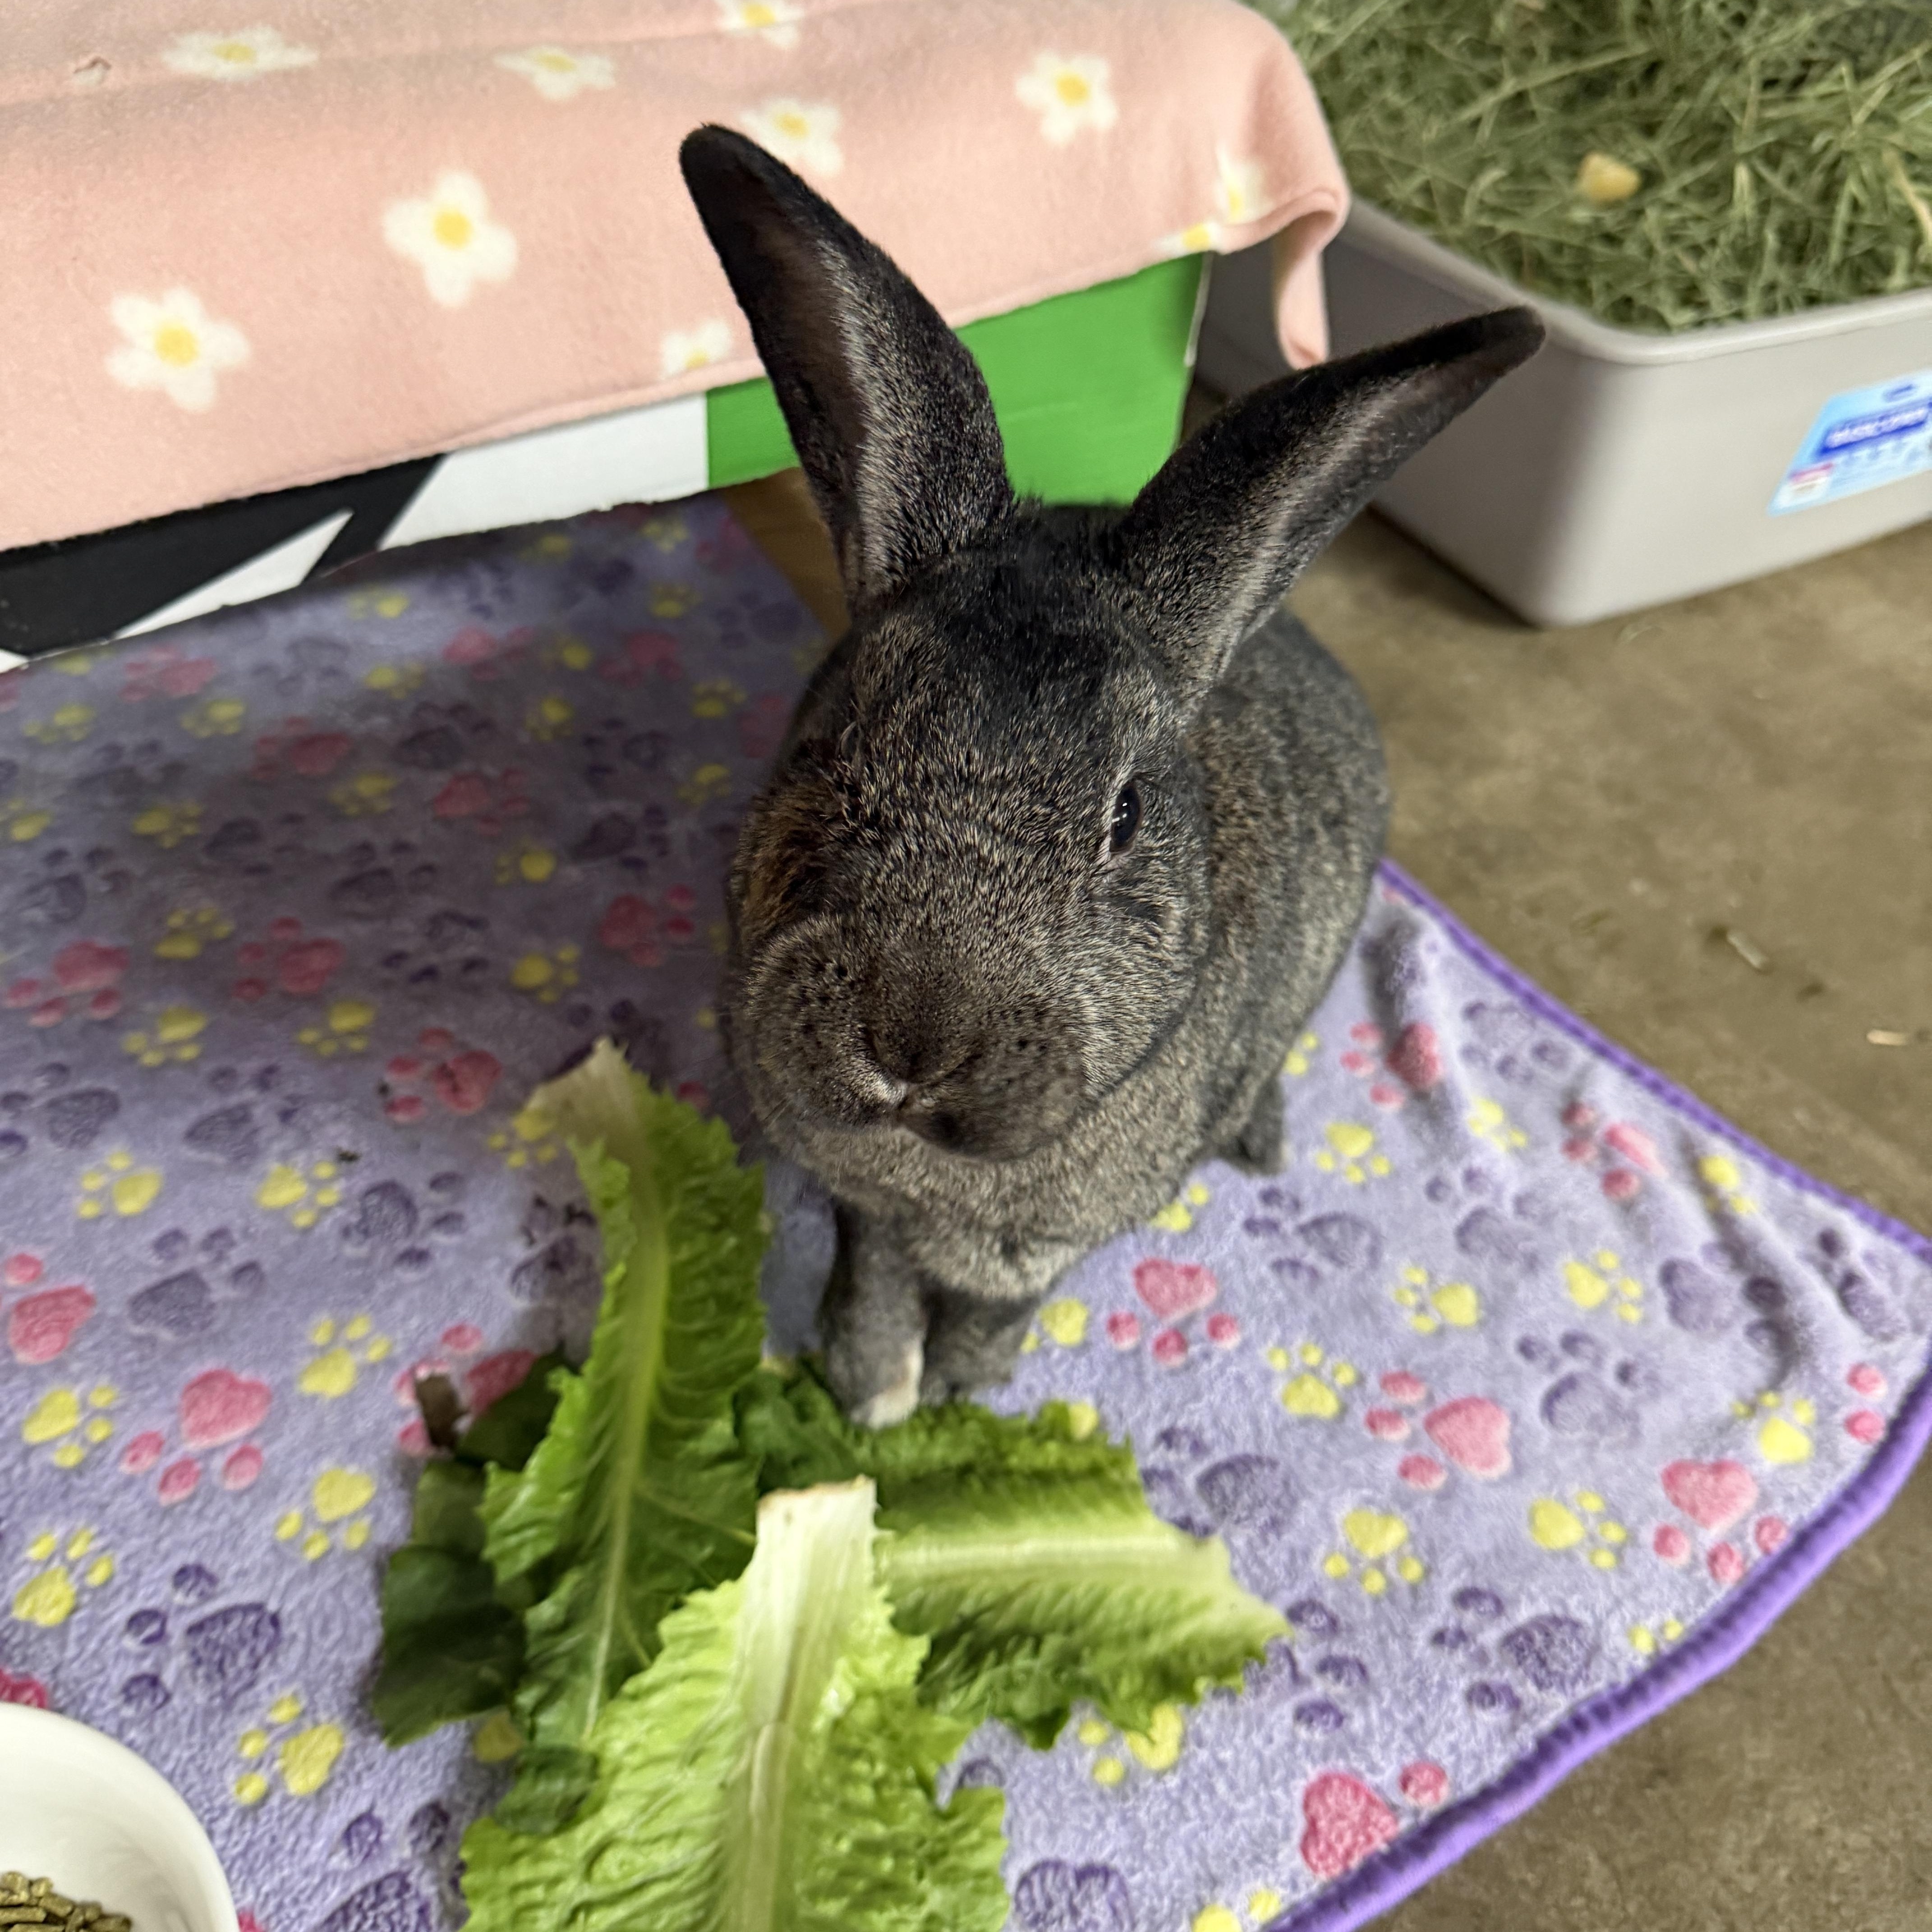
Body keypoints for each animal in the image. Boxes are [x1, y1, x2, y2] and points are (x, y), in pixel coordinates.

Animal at [680, 126, 1543, 1425]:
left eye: (1124, 815)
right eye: (834, 737)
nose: (912, 1040)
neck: (929, 1162)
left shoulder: (1038, 1249)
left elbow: (992, 1313)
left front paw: (953, 1399)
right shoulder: (866, 1209)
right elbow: (872, 1276)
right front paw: (870, 1389)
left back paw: (1262, 1140)